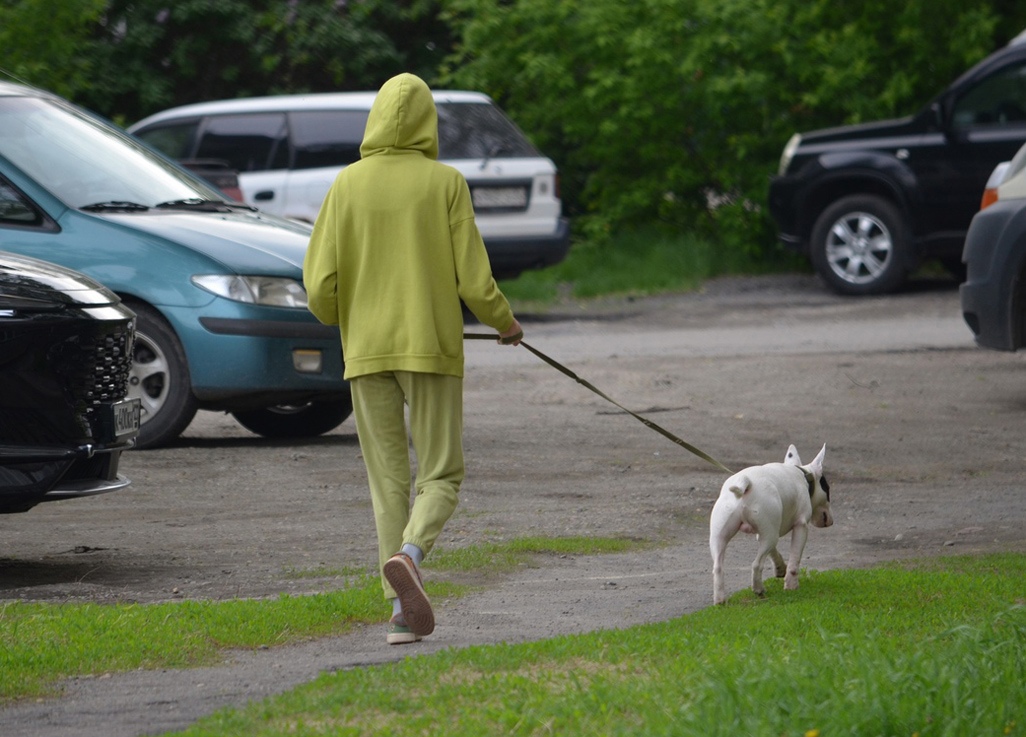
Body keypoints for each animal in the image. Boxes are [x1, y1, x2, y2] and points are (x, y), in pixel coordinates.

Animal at [714, 445, 833, 607]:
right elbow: (794, 560)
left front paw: (780, 568)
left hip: (722, 534)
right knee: (756, 564)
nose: (831, 521)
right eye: (827, 489)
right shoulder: (800, 526)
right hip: (770, 535)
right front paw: (791, 586)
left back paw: (720, 600)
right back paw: (758, 589)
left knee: (718, 567)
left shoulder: (765, 531)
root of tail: (745, 484)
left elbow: (773, 552)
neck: (804, 476)